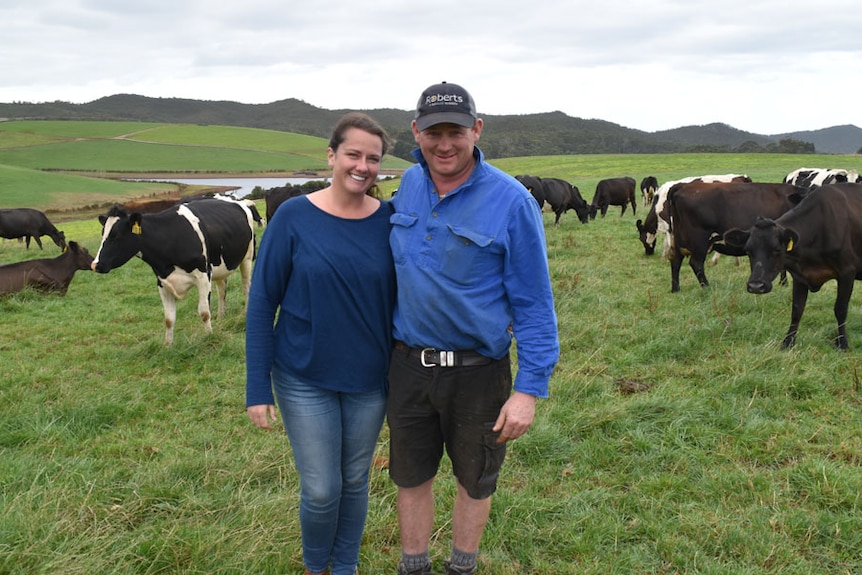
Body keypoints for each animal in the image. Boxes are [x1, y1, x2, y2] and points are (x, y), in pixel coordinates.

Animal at [95, 198, 258, 344]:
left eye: (116, 235)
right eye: (102, 234)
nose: (95, 265)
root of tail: (240, 202)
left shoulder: (203, 275)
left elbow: (204, 313)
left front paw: (209, 337)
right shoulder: (162, 281)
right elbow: (169, 319)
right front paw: (167, 346)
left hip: (247, 258)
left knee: (246, 287)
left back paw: (246, 313)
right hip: (221, 266)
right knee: (222, 290)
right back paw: (221, 317)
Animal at [664, 182, 808, 292]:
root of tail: (682, 185)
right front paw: (784, 284)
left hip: (678, 238)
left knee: (675, 260)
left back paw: (676, 289)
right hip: (699, 241)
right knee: (696, 263)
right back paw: (707, 287)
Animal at [724, 183, 862, 352]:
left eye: (777, 249)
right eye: (748, 250)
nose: (756, 286)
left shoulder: (847, 272)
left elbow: (840, 309)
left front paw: (842, 344)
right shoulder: (799, 276)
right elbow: (796, 310)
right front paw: (787, 343)